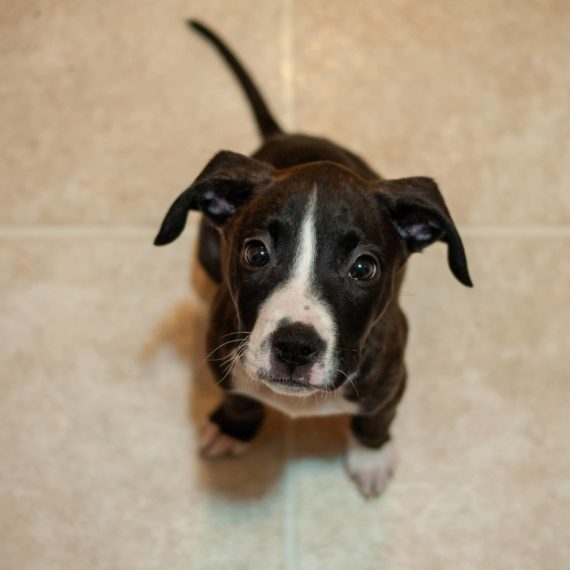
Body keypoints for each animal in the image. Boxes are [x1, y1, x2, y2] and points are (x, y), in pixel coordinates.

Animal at [153, 20, 468, 494]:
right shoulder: (219, 351)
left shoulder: (393, 377)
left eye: (364, 267)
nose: (295, 348)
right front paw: (233, 427)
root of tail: (283, 134)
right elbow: (239, 398)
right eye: (255, 252)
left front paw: (370, 456)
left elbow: (375, 419)